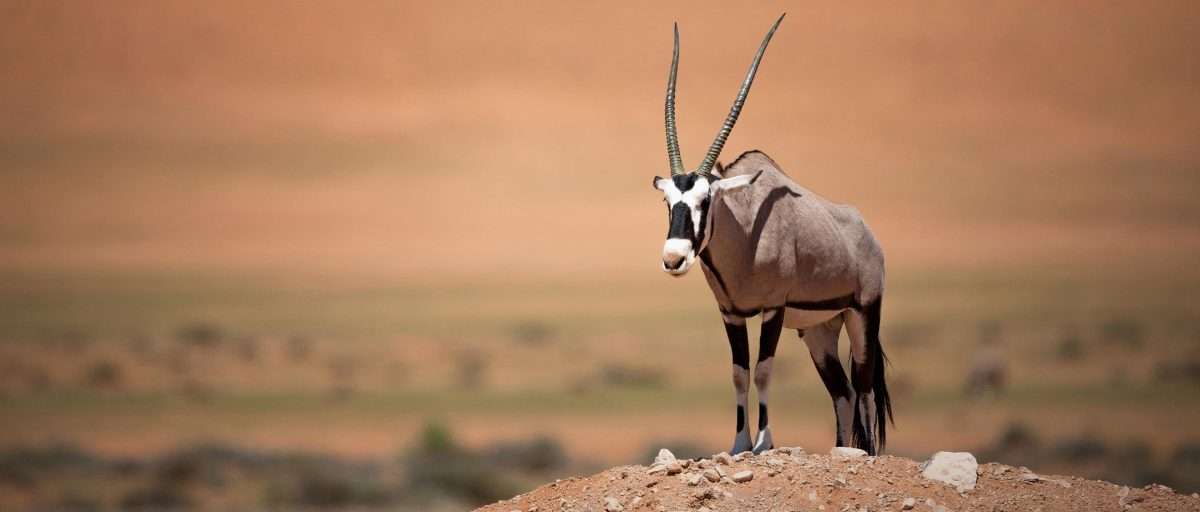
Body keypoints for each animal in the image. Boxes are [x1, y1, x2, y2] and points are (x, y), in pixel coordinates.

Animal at [651, 14, 894, 455]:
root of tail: (866, 232)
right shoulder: (730, 313)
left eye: (705, 200)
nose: (673, 258)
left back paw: (866, 453)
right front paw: (739, 443)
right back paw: (840, 448)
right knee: (844, 392)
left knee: (866, 388)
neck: (745, 233)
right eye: (669, 202)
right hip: (819, 331)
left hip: (862, 315)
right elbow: (739, 373)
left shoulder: (773, 309)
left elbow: (763, 370)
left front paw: (764, 442)